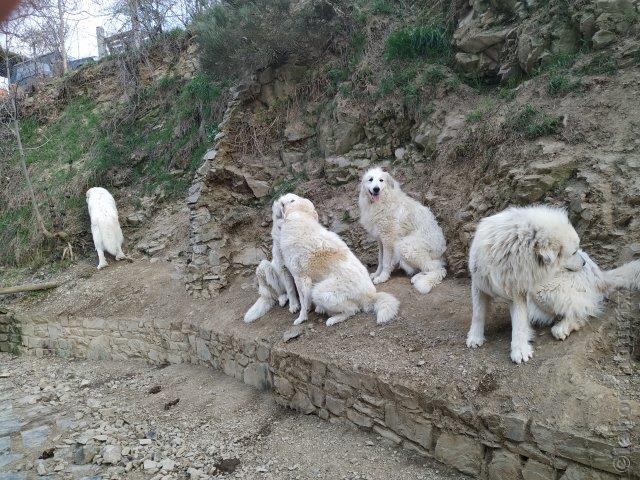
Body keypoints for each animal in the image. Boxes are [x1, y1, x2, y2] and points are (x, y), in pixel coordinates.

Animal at [246, 193, 304, 324]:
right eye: (292, 201)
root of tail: (264, 295)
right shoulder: (284, 268)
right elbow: (290, 289)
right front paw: (294, 306)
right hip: (263, 267)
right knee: (279, 293)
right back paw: (282, 298)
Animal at [278, 194, 398, 326]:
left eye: (292, 200)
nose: (281, 199)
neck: (300, 217)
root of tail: (371, 295)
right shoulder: (306, 279)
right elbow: (306, 301)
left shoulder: (300, 278)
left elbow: (303, 302)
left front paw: (301, 318)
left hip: (319, 292)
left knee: (353, 310)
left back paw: (332, 319)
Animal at [464, 204, 584, 362]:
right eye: (574, 252)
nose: (584, 262)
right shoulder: (479, 285)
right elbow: (477, 314)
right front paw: (475, 337)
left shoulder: (517, 293)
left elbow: (519, 323)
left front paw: (520, 350)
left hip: (543, 292)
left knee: (578, 310)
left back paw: (562, 328)